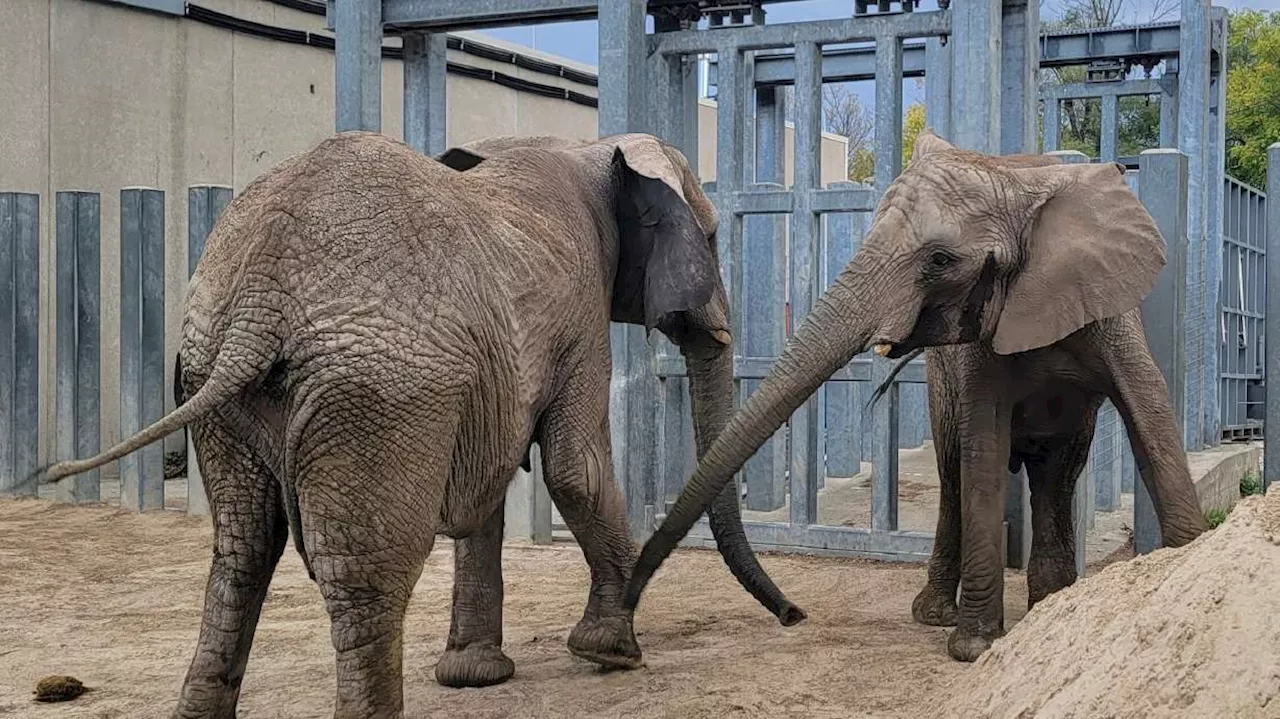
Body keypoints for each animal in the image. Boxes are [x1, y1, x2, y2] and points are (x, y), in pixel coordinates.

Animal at [35, 129, 803, 716]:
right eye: (711, 237)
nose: (794, 618)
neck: (591, 146)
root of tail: (261, 292)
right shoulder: (580, 311)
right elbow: (574, 468)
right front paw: (612, 653)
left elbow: (492, 487)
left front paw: (475, 676)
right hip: (378, 389)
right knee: (364, 572)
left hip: (219, 375)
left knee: (241, 548)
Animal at [624, 127, 1203, 660]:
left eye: (941, 260)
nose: (794, 615)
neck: (1017, 183)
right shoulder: (975, 348)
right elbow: (982, 447)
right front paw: (974, 646)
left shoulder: (1109, 310)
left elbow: (1151, 418)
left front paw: (1188, 560)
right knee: (956, 470)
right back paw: (941, 614)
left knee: (1057, 472)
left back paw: (1049, 603)